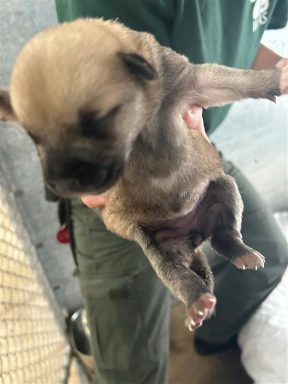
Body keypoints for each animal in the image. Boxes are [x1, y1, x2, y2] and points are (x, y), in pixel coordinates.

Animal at [1, 18, 286, 330]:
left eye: (98, 121)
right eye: (34, 137)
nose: (61, 185)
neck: (143, 124)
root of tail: (192, 235)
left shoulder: (188, 80)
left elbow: (237, 80)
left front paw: (276, 79)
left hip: (223, 188)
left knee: (225, 235)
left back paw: (242, 252)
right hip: (158, 247)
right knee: (179, 275)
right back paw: (197, 301)